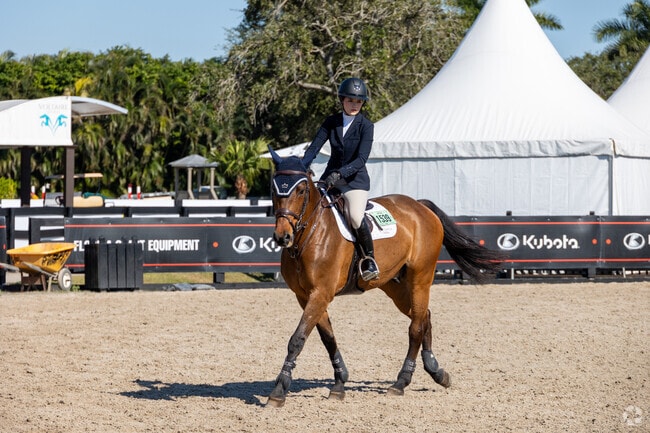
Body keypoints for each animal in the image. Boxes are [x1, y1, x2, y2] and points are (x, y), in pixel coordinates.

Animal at [267, 149, 505, 407]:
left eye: (300, 190)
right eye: (274, 190)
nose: (282, 237)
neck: (310, 234)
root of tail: (420, 206)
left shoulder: (321, 293)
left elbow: (298, 338)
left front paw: (279, 391)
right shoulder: (306, 296)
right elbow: (327, 338)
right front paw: (339, 383)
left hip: (421, 278)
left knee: (416, 327)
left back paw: (401, 382)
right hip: (395, 286)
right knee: (424, 316)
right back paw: (436, 371)